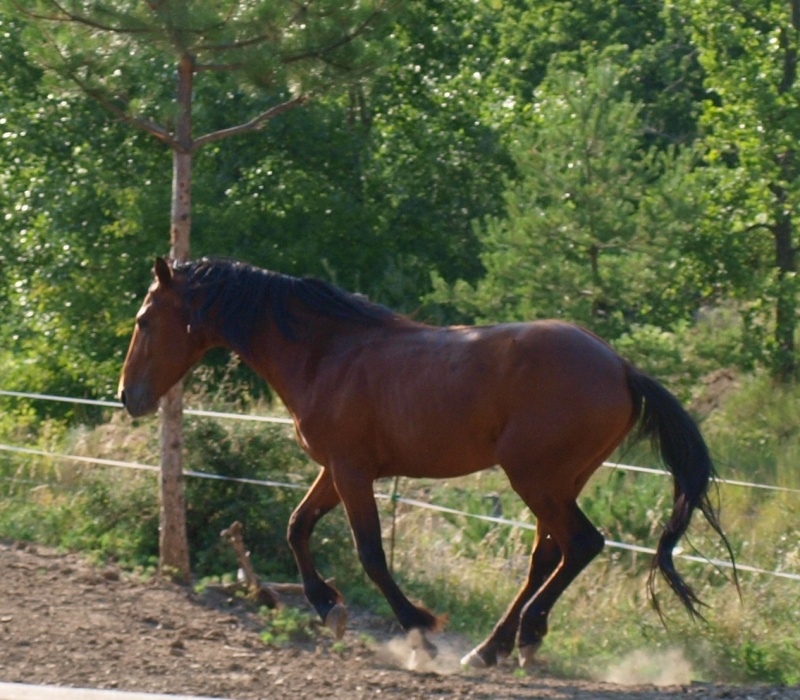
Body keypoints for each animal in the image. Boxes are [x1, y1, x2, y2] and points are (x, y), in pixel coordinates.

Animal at [115, 258, 736, 668]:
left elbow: (370, 553)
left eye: (144, 320)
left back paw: (524, 637)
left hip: (535, 478)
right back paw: (491, 648)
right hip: (562, 481)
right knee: (548, 555)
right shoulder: (335, 470)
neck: (325, 352)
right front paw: (327, 606)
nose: (127, 396)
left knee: (581, 544)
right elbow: (298, 528)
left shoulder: (352, 472)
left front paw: (417, 629)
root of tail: (621, 367)